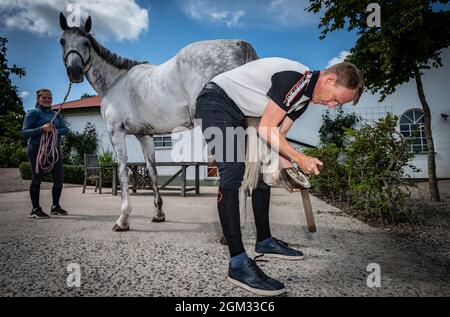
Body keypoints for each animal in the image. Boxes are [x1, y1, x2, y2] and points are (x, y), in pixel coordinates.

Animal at [58, 13, 258, 230]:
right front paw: (158, 213)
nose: (74, 72)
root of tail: (238, 45)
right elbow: (152, 171)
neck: (116, 82)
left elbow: (122, 172)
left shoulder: (116, 132)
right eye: (62, 41)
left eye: (86, 42)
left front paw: (123, 219)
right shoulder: (144, 135)